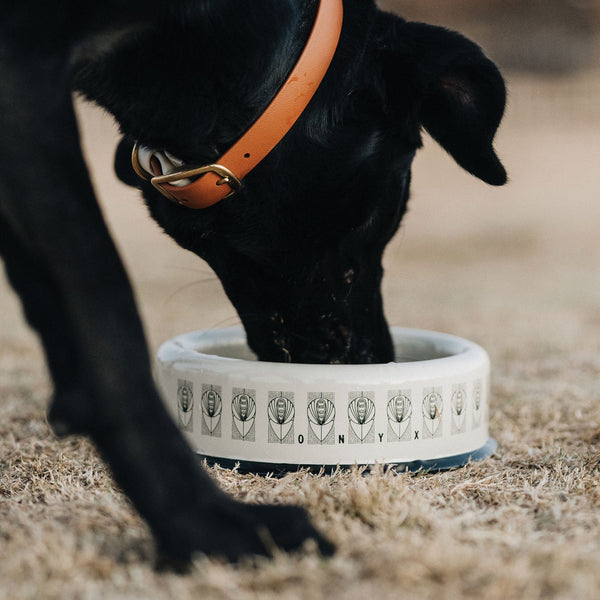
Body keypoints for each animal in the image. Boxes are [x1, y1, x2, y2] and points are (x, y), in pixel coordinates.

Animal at [0, 0, 506, 568]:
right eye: (383, 215)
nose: (377, 358)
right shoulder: (23, 72)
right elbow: (105, 313)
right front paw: (205, 525)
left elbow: (41, 289)